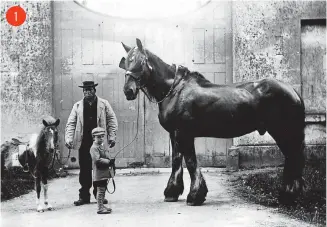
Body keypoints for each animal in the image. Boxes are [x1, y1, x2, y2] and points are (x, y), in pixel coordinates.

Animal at [119, 38, 306, 205]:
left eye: (141, 61)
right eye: (126, 62)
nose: (128, 91)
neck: (175, 90)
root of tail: (293, 91)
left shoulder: (184, 134)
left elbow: (191, 162)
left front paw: (195, 196)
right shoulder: (174, 134)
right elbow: (176, 161)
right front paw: (172, 193)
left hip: (283, 132)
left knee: (293, 158)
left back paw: (288, 197)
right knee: (292, 159)